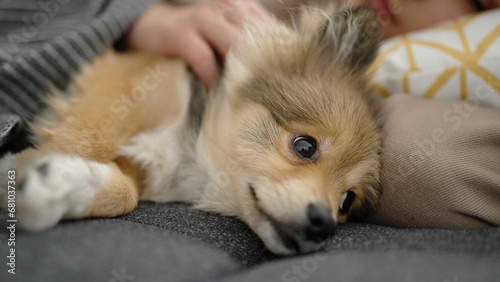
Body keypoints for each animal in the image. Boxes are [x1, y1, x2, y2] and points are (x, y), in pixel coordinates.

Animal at [0, 6, 382, 254]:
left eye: (347, 202)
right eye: (305, 147)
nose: (324, 224)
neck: (189, 156)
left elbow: (125, 191)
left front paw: (56, 184)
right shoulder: (122, 84)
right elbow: (86, 140)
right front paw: (30, 170)